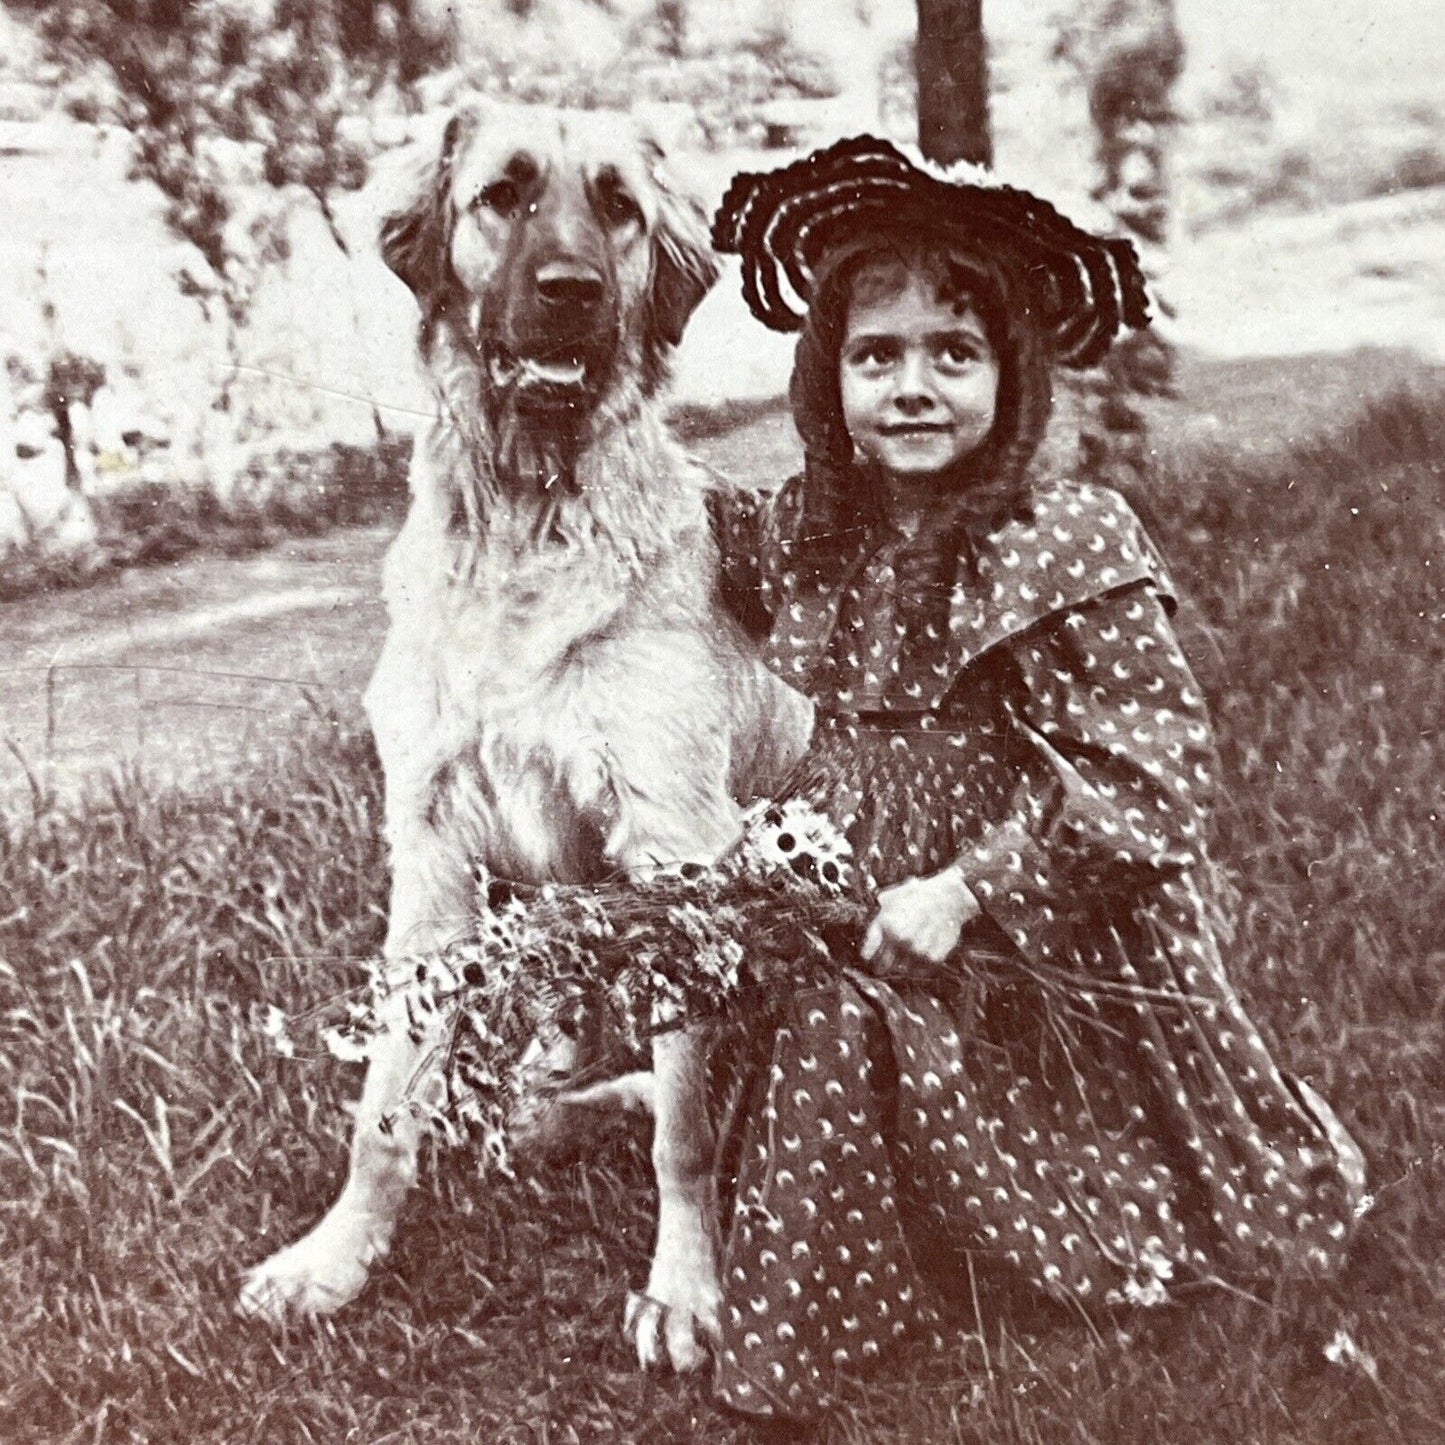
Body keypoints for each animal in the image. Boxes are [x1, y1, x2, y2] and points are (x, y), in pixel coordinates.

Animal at [236, 104, 814, 1375]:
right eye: (501, 194)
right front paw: (334, 1256)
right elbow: (382, 1107)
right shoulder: (434, 858)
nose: (569, 291)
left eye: (618, 208)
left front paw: (686, 1286)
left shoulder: (675, 856)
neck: (526, 519)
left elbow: (685, 1126)